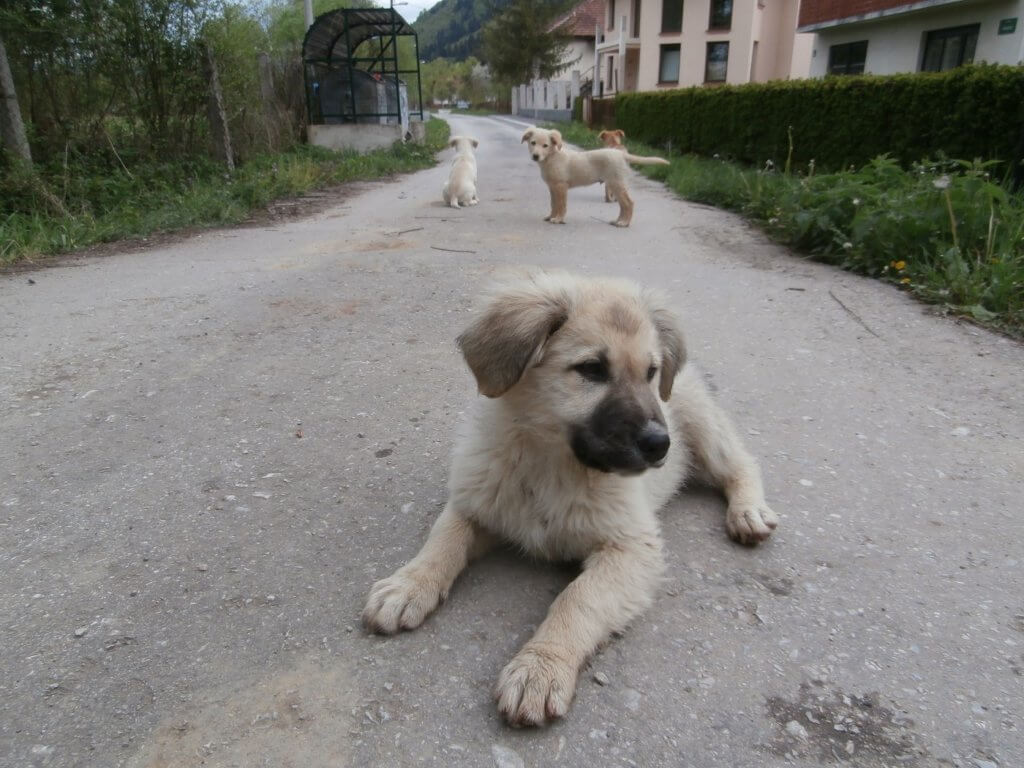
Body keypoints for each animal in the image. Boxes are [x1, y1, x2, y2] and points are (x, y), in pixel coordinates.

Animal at [364, 268, 778, 729]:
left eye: (651, 372)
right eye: (592, 369)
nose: (660, 445)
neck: (552, 465)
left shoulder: (631, 547)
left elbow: (577, 599)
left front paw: (540, 667)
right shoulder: (475, 501)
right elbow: (442, 541)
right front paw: (408, 585)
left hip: (702, 425)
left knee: (739, 462)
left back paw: (749, 511)